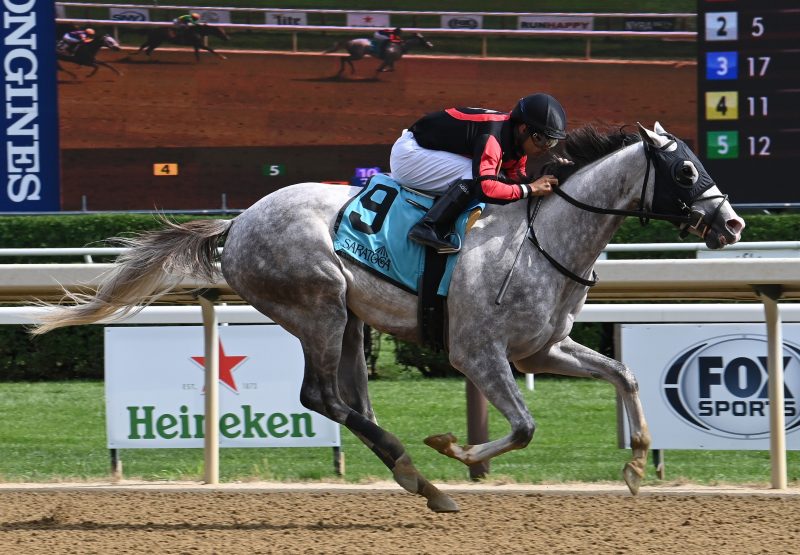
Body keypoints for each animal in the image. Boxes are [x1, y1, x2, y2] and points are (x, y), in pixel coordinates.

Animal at [29, 124, 744, 516]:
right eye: (685, 170)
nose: (733, 223)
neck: (542, 237)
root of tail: (237, 224)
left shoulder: (542, 351)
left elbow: (624, 374)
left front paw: (636, 468)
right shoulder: (477, 353)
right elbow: (523, 427)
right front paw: (456, 449)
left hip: (349, 319)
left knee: (352, 400)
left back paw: (419, 480)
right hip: (317, 304)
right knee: (322, 396)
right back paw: (417, 470)